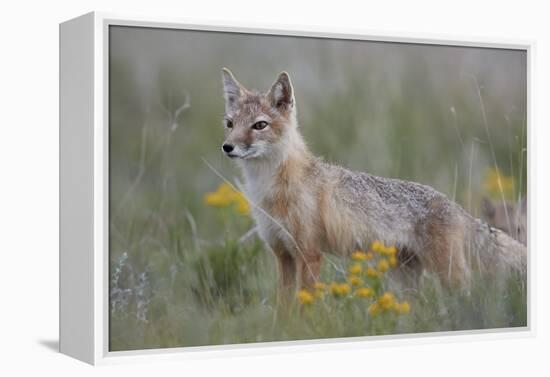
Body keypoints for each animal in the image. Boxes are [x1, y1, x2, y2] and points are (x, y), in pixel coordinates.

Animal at [219, 67, 528, 296]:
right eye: (230, 124)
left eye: (259, 125)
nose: (227, 147)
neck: (268, 190)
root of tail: (458, 208)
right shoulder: (283, 255)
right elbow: (283, 313)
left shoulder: (309, 254)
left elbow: (305, 308)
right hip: (404, 282)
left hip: (450, 278)